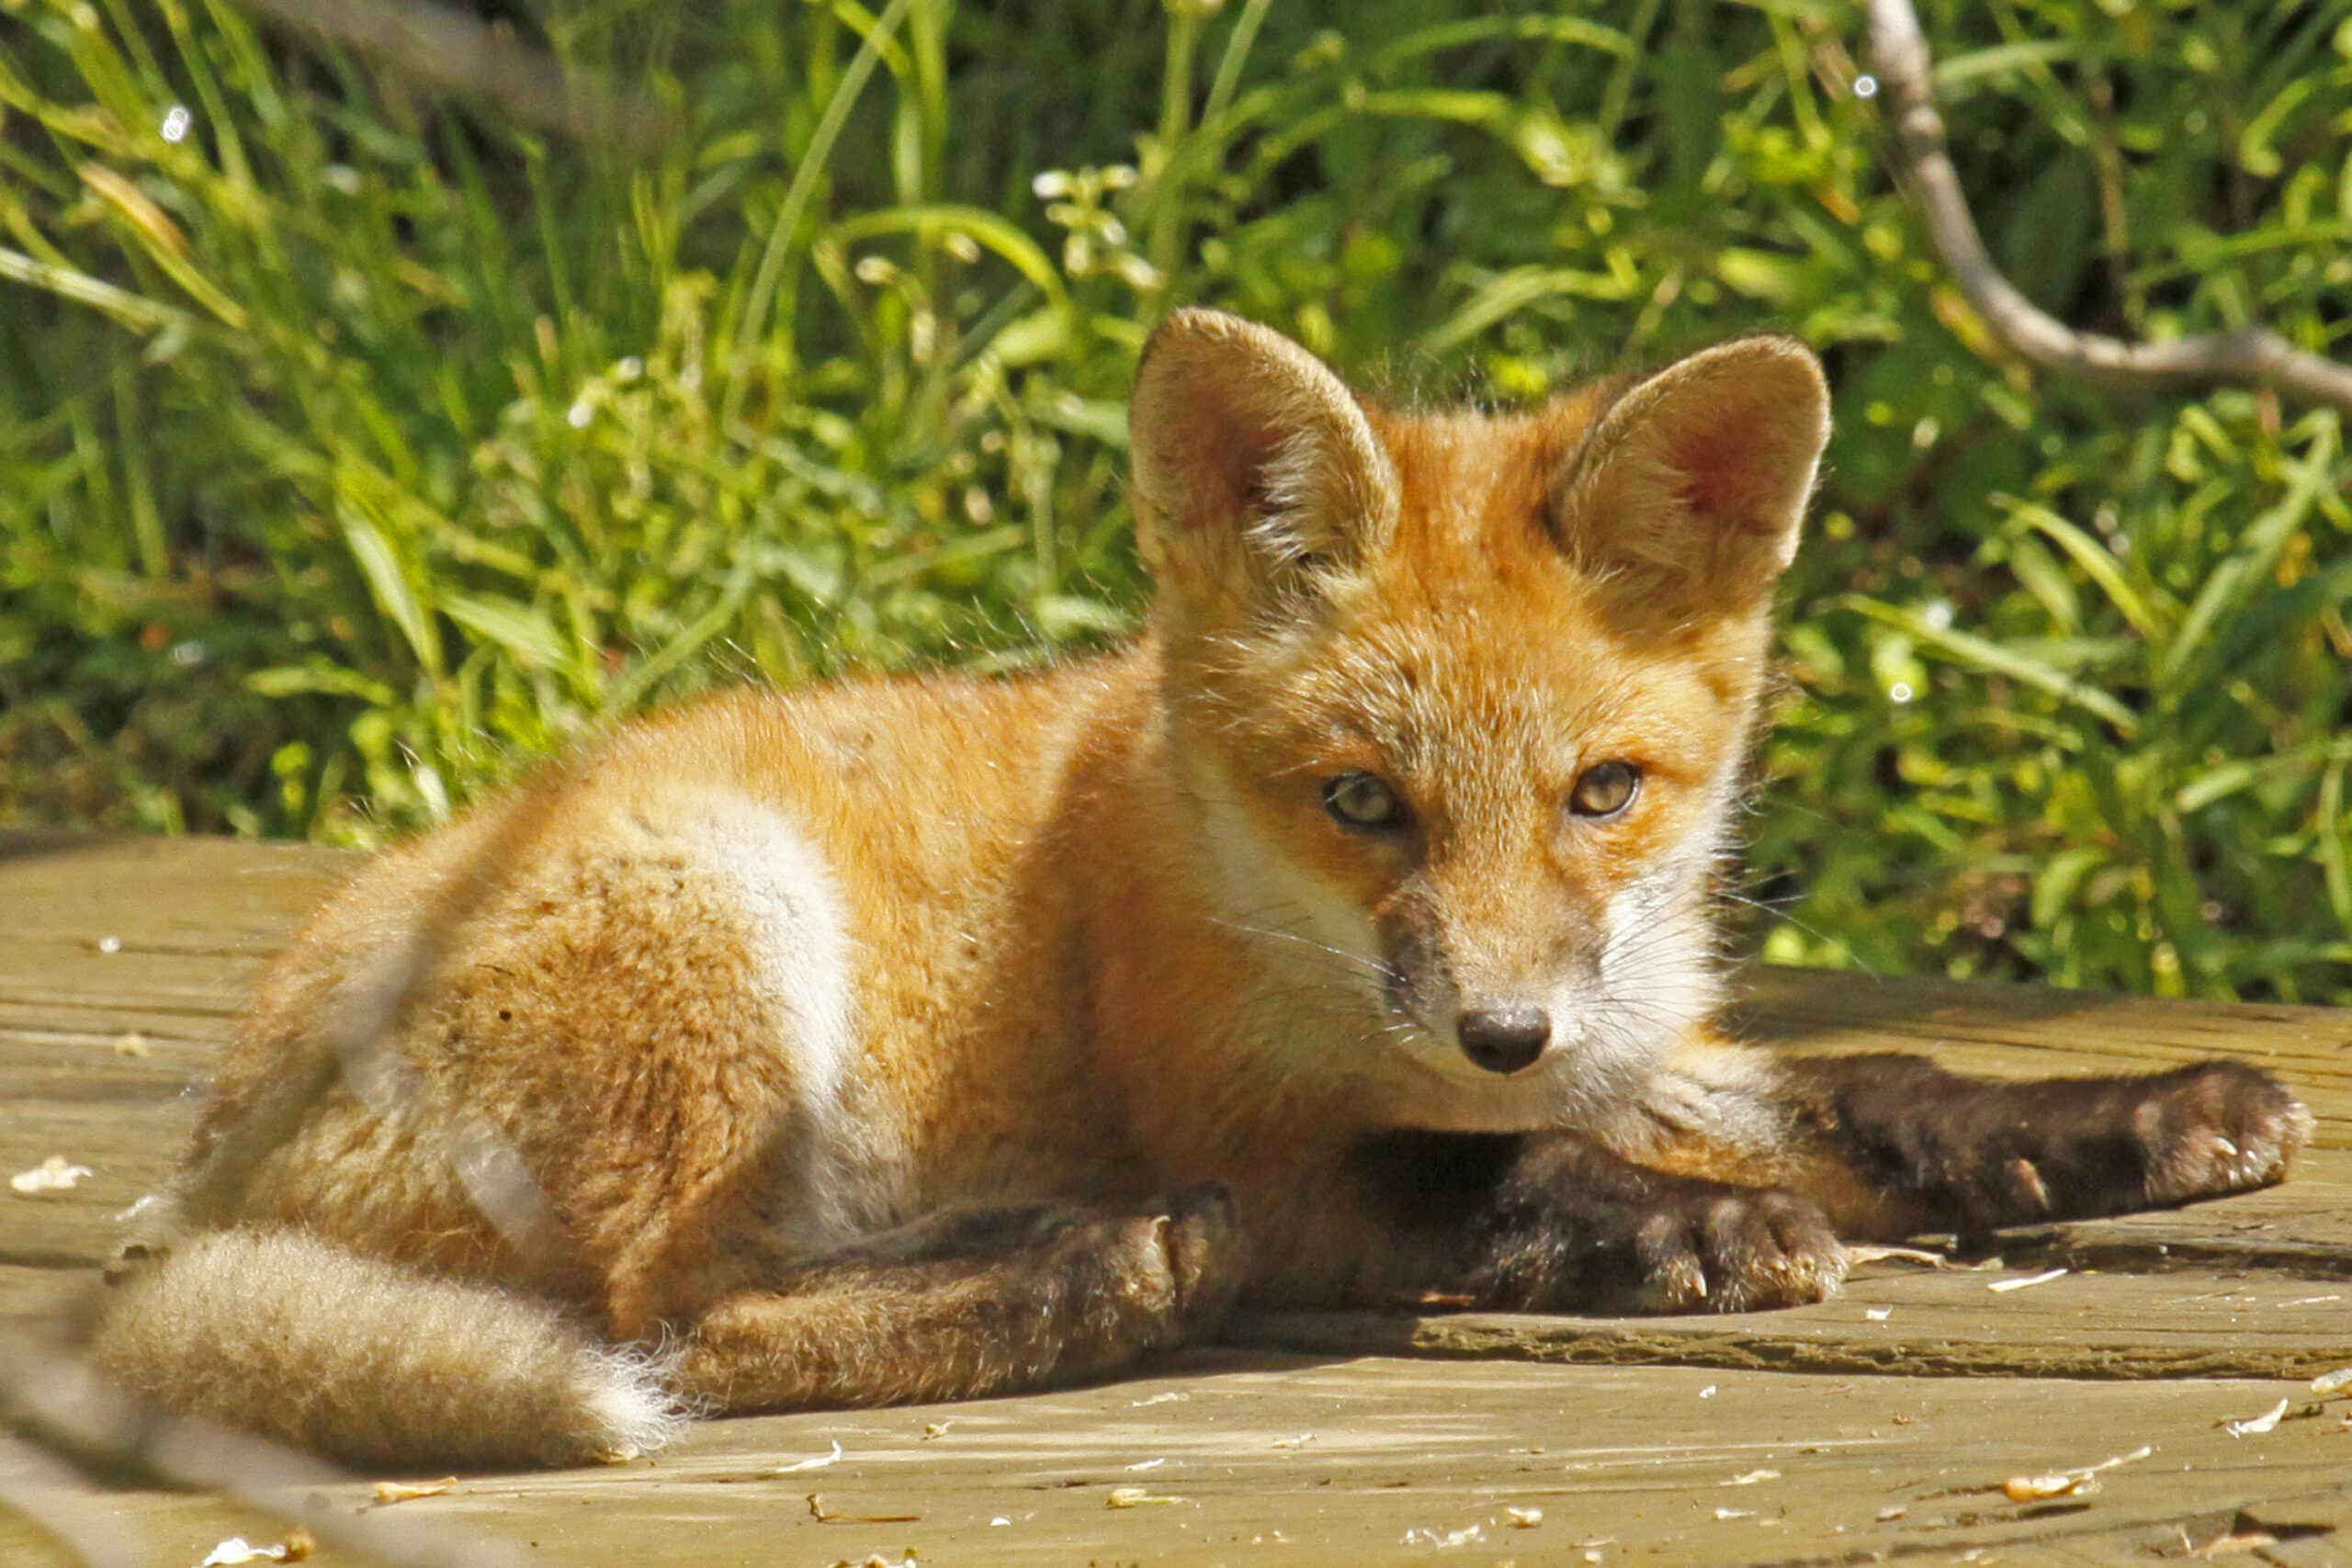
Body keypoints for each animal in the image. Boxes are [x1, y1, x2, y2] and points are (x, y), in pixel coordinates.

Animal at [88, 310, 2309, 1471]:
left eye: (1602, 792)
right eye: (1363, 801)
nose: (1500, 1025)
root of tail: (204, 1159)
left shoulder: (1629, 1040)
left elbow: (1895, 1090)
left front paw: (2142, 1117)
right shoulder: (1265, 1129)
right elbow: (1490, 1177)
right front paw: (1693, 1230)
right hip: (725, 946)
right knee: (679, 1321)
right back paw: (1097, 1279)